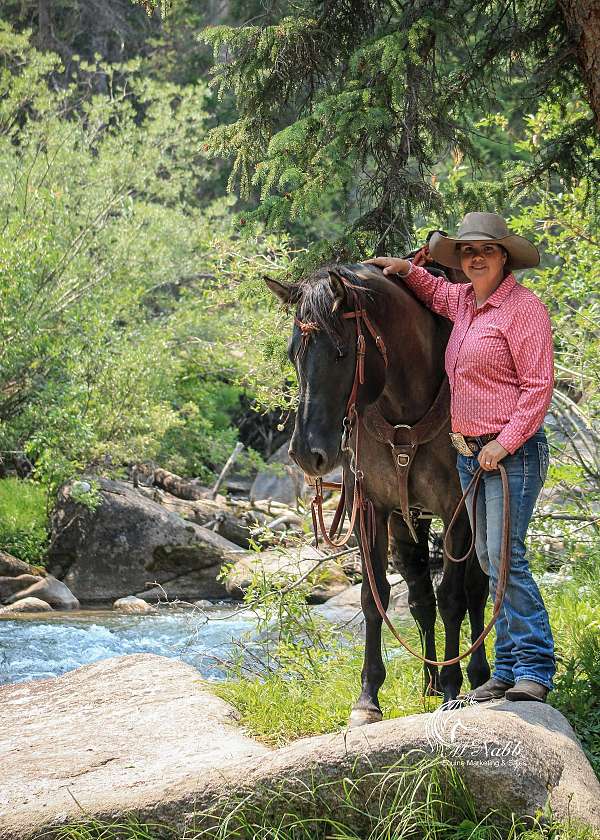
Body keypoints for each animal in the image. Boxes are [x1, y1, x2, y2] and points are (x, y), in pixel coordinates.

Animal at [268, 264, 492, 728]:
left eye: (340, 353)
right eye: (293, 353)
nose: (306, 453)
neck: (403, 403)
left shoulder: (457, 511)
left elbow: (454, 598)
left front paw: (453, 690)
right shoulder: (373, 508)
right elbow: (375, 599)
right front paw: (368, 698)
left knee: (475, 590)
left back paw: (474, 676)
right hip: (407, 523)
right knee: (420, 596)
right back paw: (428, 680)